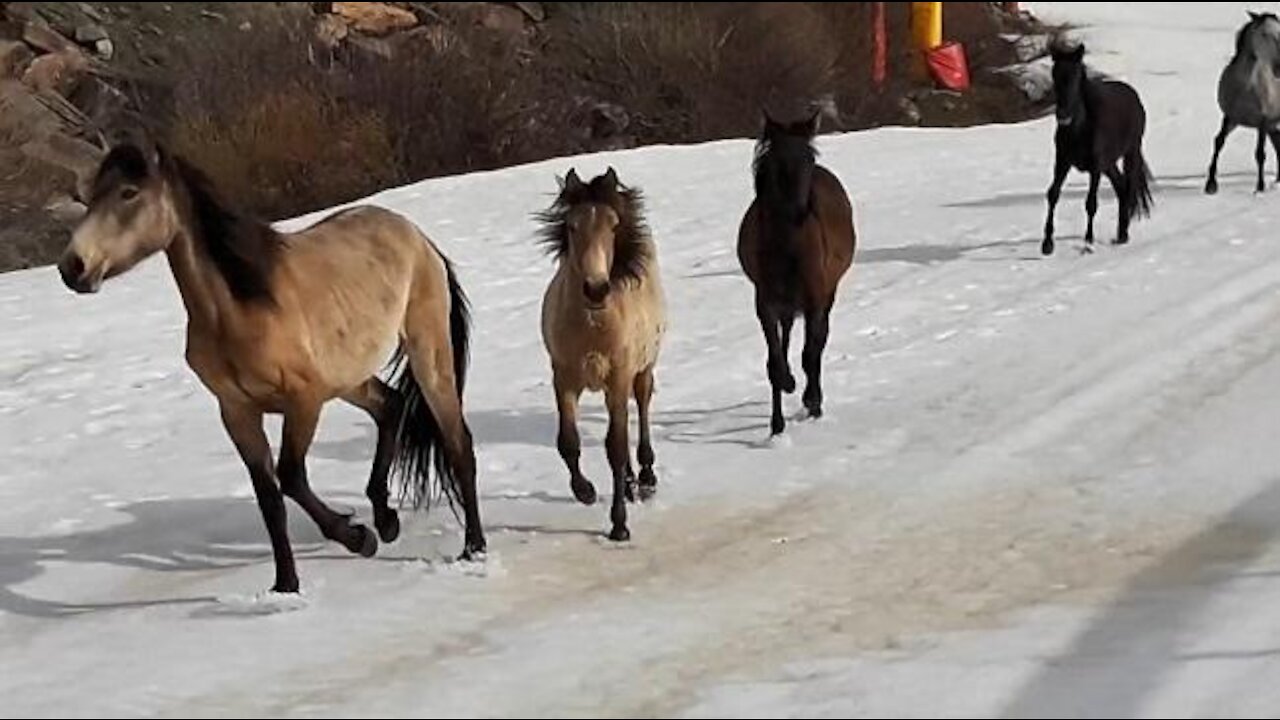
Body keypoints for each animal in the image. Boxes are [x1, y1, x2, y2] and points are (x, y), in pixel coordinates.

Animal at [55, 140, 486, 589]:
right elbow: (269, 498)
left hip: (427, 354)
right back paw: (387, 522)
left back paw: (472, 547)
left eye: (129, 193)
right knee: (392, 407)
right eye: (90, 196)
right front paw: (286, 585)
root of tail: (419, 238)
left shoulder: (304, 401)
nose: (73, 267)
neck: (241, 311)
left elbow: (291, 476)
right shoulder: (237, 413)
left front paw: (357, 538)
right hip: (347, 377)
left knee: (458, 444)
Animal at [535, 167, 665, 538]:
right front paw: (585, 491)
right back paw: (632, 484)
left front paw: (619, 525)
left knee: (642, 407)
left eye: (613, 225)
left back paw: (646, 478)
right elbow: (568, 441)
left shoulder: (619, 377)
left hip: (642, 370)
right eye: (571, 226)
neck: (593, 326)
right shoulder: (564, 377)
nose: (596, 289)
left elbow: (616, 448)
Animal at [737, 112, 855, 435]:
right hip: (787, 304)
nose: (800, 213)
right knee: (787, 339)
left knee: (817, 343)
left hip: (827, 293)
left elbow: (810, 353)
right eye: (777, 162)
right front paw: (777, 422)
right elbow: (775, 362)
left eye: (809, 159)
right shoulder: (765, 302)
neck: (786, 245)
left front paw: (812, 401)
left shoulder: (815, 298)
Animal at [1044, 41, 1157, 254]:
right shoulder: (1062, 161)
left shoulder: (1095, 167)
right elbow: (1053, 194)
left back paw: (1123, 234)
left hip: (1131, 152)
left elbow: (1091, 203)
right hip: (1109, 164)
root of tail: (1134, 96)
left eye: (1075, 75)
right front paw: (1047, 244)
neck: (1080, 128)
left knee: (1128, 186)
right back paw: (1121, 235)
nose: (1063, 115)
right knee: (1121, 187)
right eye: (1054, 74)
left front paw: (1088, 242)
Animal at [1203, 11, 1274, 196]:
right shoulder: (1230, 116)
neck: (1245, 87)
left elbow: (1260, 153)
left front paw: (1260, 188)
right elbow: (1219, 141)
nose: (1278, 66)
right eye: (1264, 34)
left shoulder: (1263, 120)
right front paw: (1210, 184)